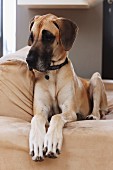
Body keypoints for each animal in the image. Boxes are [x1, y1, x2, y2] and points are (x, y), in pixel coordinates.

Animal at [25, 13, 107, 161]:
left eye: (48, 36)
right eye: (32, 37)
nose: (29, 60)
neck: (52, 73)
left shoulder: (69, 111)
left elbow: (57, 117)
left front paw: (52, 141)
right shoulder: (41, 110)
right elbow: (37, 118)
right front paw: (37, 143)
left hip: (96, 78)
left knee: (98, 111)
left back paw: (92, 115)